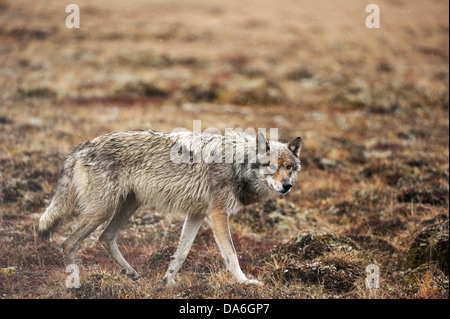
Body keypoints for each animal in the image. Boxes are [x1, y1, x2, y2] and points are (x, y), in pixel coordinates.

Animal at [37, 129, 300, 286]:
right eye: (271, 166)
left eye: (288, 167)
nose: (287, 186)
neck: (237, 165)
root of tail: (79, 148)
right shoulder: (217, 214)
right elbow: (231, 255)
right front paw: (245, 282)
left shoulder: (196, 214)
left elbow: (181, 252)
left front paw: (169, 282)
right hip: (102, 211)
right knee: (69, 243)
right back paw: (75, 284)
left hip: (127, 207)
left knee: (106, 237)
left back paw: (131, 273)